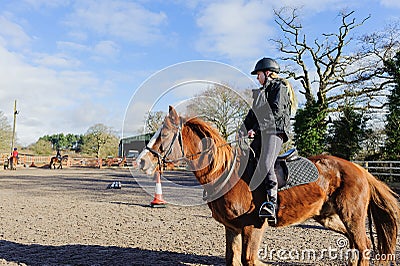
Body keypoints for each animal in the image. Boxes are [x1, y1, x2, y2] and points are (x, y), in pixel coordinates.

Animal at [138, 105, 400, 266]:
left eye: (164, 135)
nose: (140, 161)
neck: (227, 174)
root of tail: (360, 170)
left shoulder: (253, 227)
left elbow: (250, 260)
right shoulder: (232, 228)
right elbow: (233, 259)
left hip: (351, 215)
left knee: (363, 246)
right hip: (328, 217)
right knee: (357, 245)